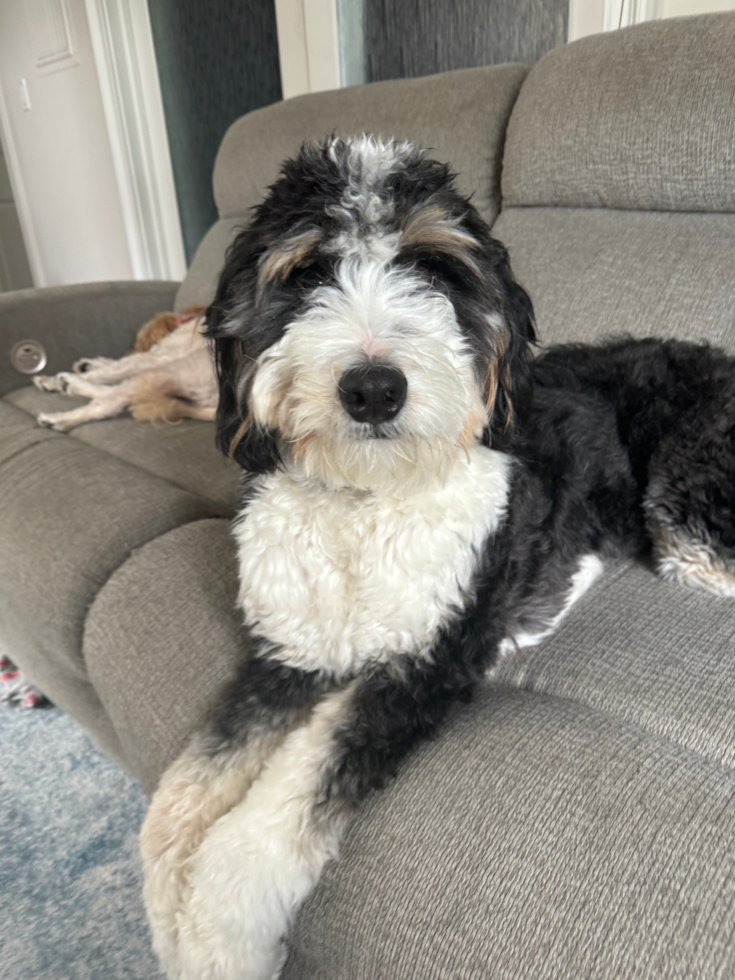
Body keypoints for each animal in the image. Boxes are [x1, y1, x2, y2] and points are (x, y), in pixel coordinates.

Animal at [34, 306, 217, 428]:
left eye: (139, 342)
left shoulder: (157, 357)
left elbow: (112, 369)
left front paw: (52, 380)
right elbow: (113, 366)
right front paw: (85, 366)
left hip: (171, 370)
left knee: (107, 404)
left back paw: (58, 417)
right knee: (115, 392)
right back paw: (70, 383)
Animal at [141, 134, 735, 976]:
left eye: (433, 269)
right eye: (307, 272)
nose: (372, 389)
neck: (364, 497)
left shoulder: (423, 665)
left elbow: (262, 829)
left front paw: (215, 938)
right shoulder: (289, 654)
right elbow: (182, 796)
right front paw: (168, 914)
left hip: (688, 514)